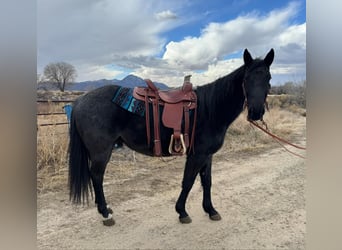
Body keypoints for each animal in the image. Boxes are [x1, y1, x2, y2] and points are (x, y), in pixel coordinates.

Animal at [68, 47, 274, 226]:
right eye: (246, 78)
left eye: (268, 78)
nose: (256, 112)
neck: (210, 109)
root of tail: (79, 101)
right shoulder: (197, 155)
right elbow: (188, 181)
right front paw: (182, 212)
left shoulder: (207, 155)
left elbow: (207, 181)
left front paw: (210, 210)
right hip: (101, 152)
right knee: (96, 176)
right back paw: (105, 213)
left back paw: (105, 209)